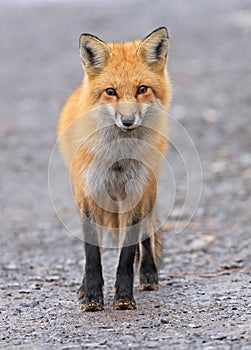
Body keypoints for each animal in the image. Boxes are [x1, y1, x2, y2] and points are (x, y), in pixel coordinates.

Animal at [57, 28, 172, 312]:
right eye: (111, 91)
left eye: (142, 89)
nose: (128, 121)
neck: (117, 159)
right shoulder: (89, 193)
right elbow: (91, 254)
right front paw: (92, 297)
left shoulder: (135, 192)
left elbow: (127, 255)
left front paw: (123, 297)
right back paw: (83, 287)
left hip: (149, 191)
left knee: (146, 235)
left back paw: (148, 274)